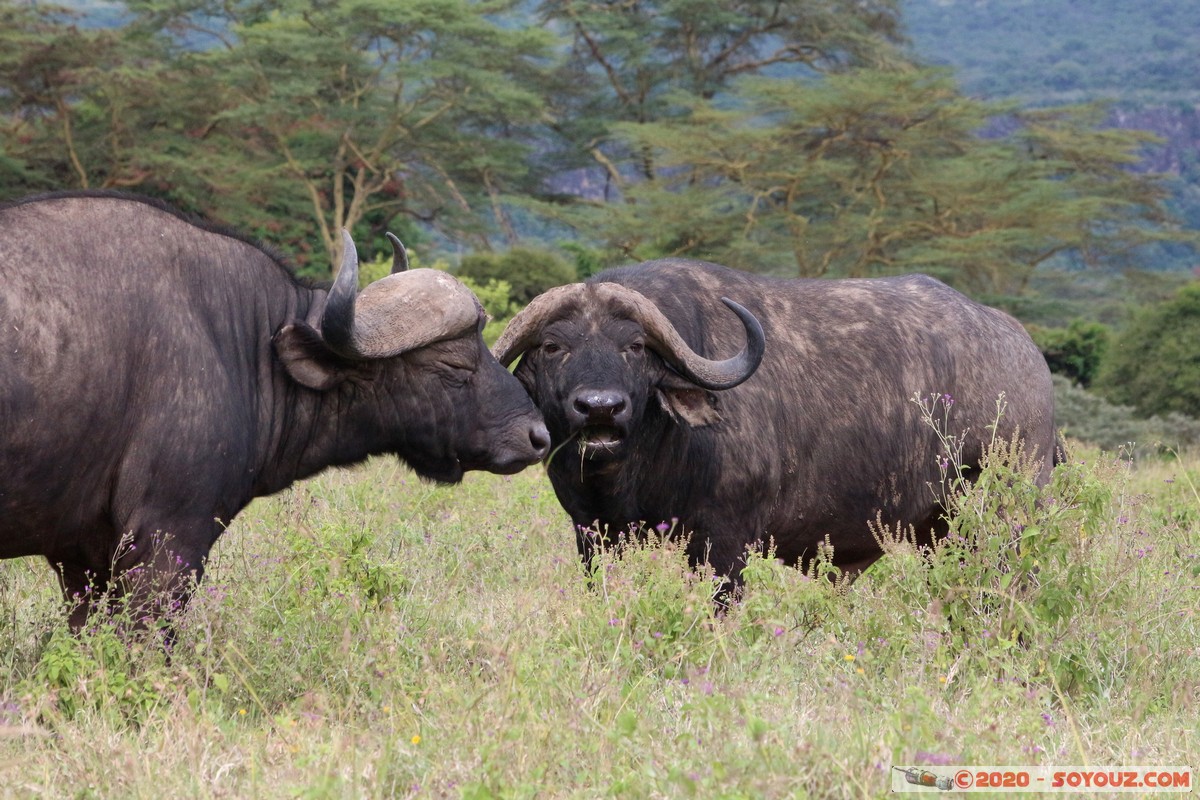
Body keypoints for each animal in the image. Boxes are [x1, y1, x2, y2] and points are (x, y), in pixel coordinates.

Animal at [492, 261, 1056, 582]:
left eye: (634, 347)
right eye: (552, 346)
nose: (600, 407)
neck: (635, 471)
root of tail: (1029, 356)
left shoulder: (724, 543)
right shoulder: (593, 536)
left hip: (1001, 517)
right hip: (938, 534)